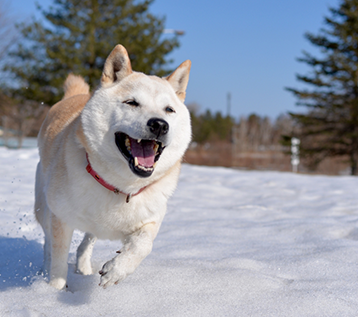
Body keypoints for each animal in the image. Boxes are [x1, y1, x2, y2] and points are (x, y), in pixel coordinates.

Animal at [34, 44, 192, 288]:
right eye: (132, 102)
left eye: (169, 110)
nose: (159, 125)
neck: (120, 186)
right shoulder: (61, 218)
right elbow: (58, 265)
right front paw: (53, 291)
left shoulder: (150, 219)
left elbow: (143, 245)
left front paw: (116, 270)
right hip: (43, 207)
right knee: (47, 243)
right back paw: (44, 270)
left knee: (86, 243)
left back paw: (84, 268)